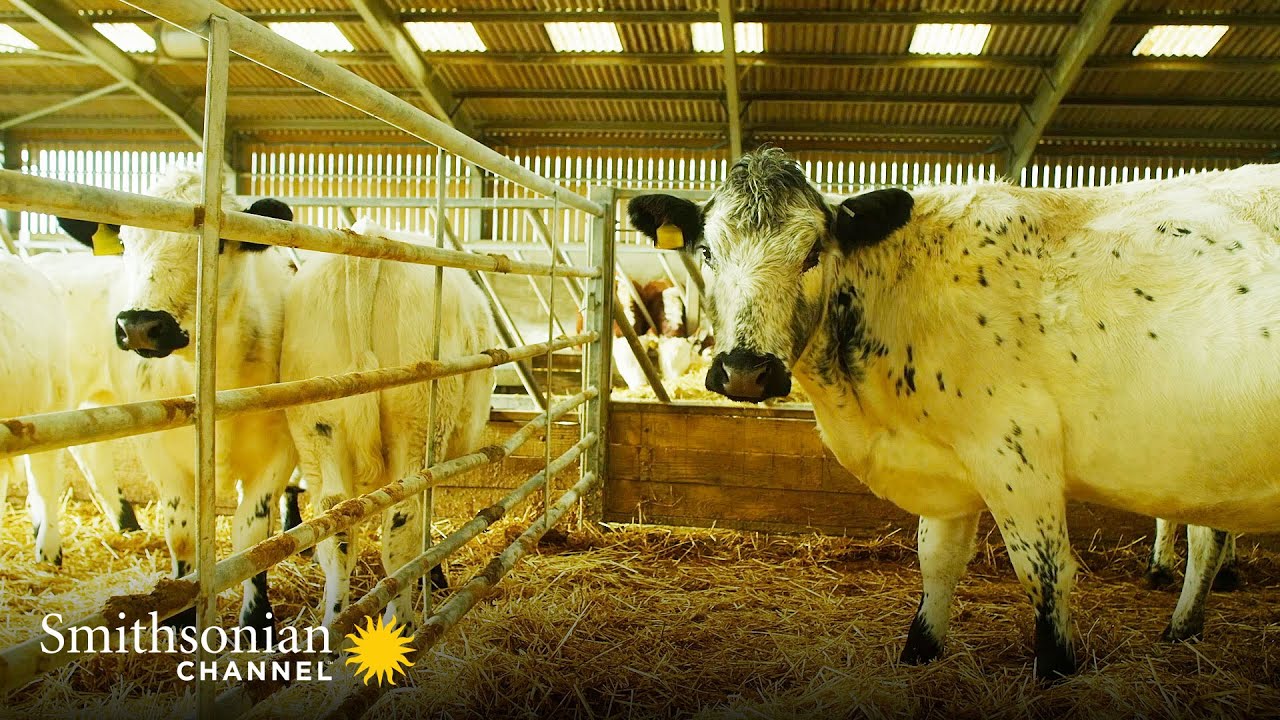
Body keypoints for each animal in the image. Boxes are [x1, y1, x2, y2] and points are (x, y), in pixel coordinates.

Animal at [54, 164, 298, 630]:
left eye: (219, 244)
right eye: (125, 243)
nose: (140, 326)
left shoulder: (277, 449)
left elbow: (252, 536)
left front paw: (257, 619)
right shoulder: (160, 451)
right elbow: (182, 532)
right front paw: (181, 611)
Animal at [282, 217, 496, 632]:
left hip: (317, 426)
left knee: (335, 526)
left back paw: (333, 621)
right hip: (418, 426)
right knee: (403, 525)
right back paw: (403, 623)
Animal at [628, 148, 1280, 680]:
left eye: (812, 252)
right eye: (707, 251)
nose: (745, 370)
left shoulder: (1018, 454)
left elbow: (1045, 574)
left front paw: (1058, 670)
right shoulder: (947, 464)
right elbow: (937, 562)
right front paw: (920, 651)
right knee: (1206, 535)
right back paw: (1181, 630)